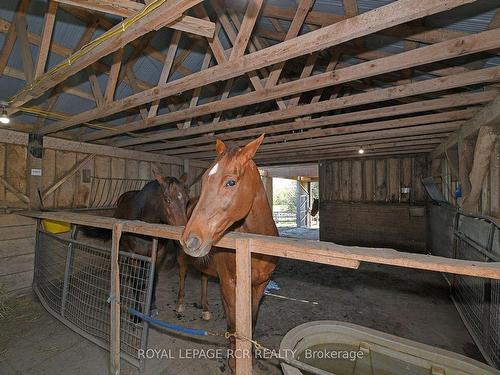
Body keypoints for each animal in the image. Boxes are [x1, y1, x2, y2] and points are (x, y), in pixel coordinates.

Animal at [180, 134, 278, 374]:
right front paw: (234, 362)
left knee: (204, 278)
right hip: (184, 262)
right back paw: (180, 304)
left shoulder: (259, 285)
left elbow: (250, 321)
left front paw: (249, 357)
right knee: (182, 274)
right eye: (206, 179)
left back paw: (206, 309)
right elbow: (235, 324)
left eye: (231, 182)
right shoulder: (229, 283)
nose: (190, 240)